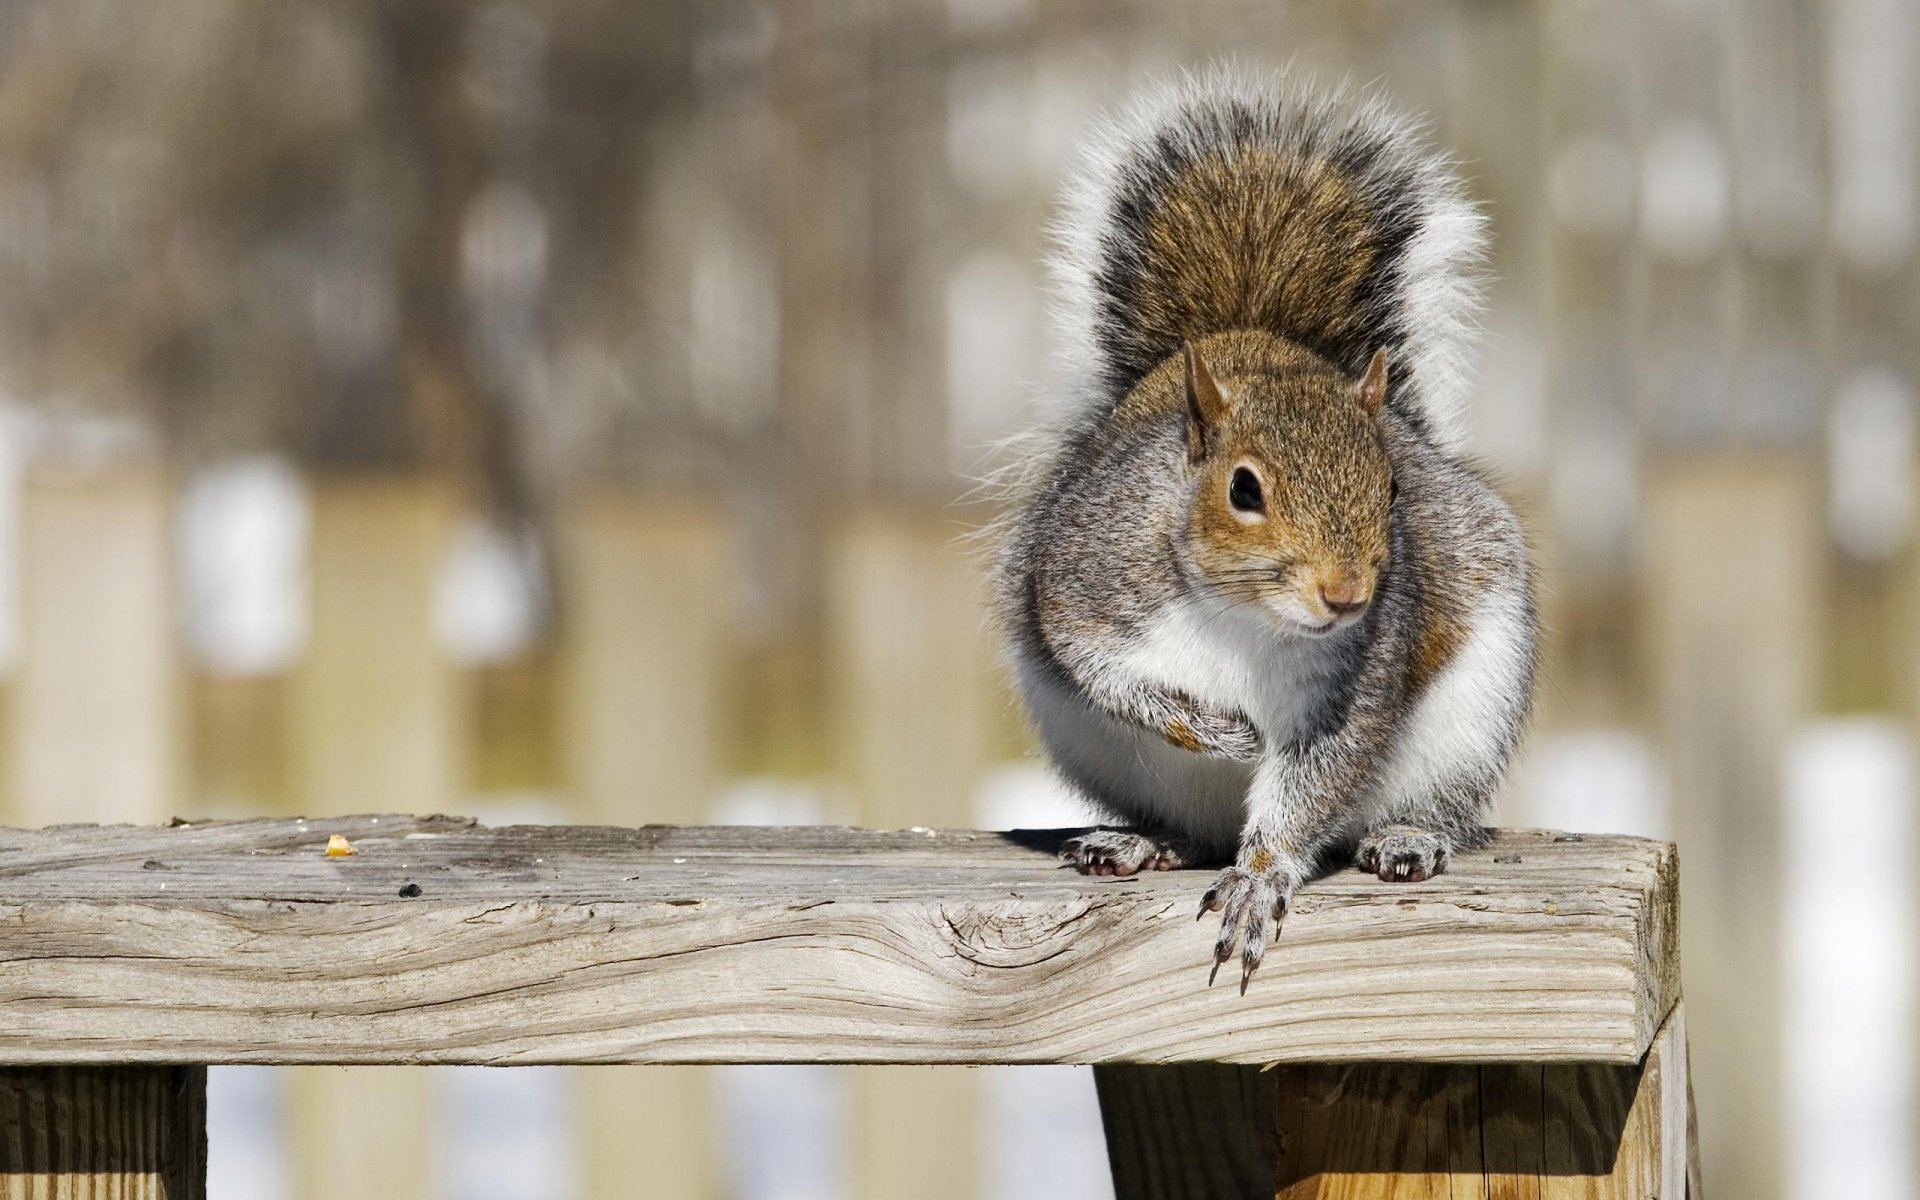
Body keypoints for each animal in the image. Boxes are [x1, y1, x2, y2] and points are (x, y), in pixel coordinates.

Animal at [994, 68, 1536, 991]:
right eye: (1243, 488)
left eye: (1393, 485)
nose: (1347, 595)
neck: (1241, 615)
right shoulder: (1083, 575)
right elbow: (1096, 664)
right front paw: (1210, 727)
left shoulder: (1356, 679)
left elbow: (1316, 779)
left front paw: (1259, 878)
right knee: (1184, 826)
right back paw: (1141, 840)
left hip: (1471, 717)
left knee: (1433, 806)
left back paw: (1409, 838)